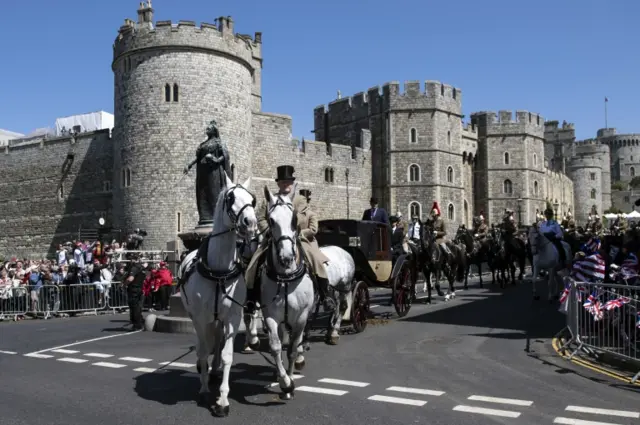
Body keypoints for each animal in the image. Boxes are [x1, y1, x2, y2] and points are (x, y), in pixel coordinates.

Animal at [179, 174, 256, 416]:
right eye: (230, 198)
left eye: (253, 199)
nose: (250, 223)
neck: (219, 271)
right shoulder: (201, 317)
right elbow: (204, 350)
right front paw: (204, 390)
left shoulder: (232, 317)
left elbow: (227, 354)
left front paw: (222, 399)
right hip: (196, 317)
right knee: (203, 343)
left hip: (219, 318)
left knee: (218, 341)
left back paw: (213, 371)